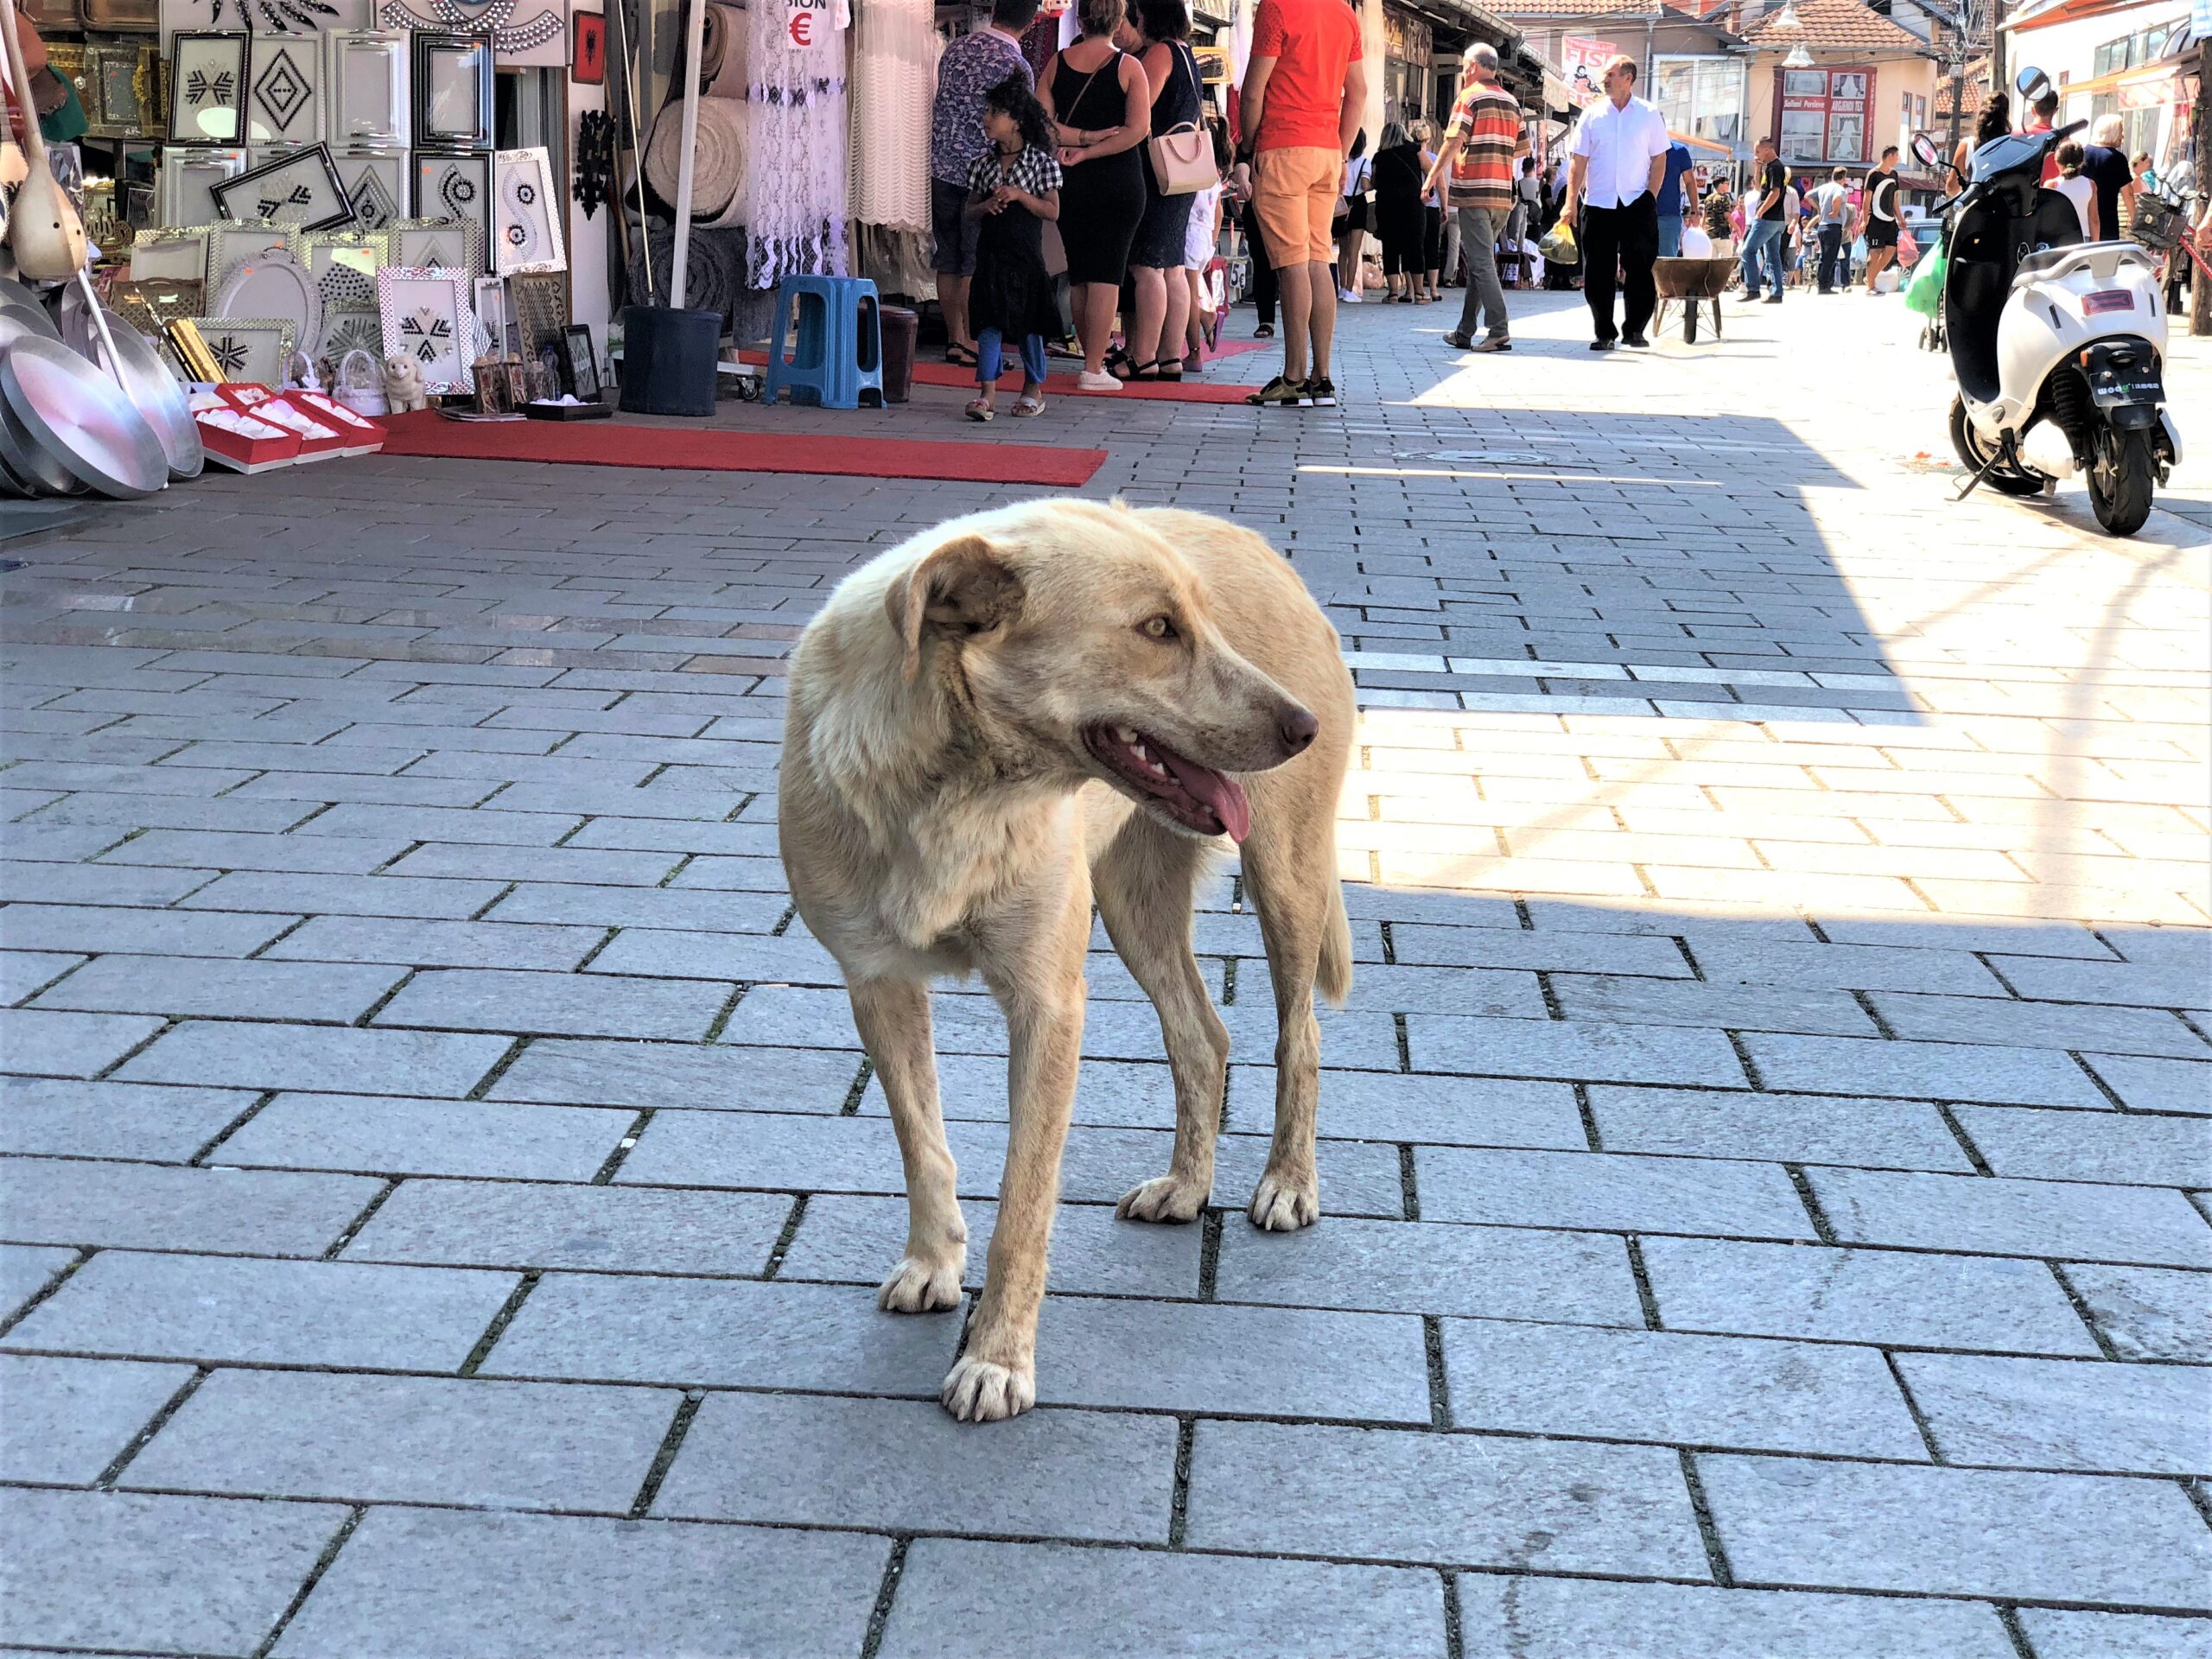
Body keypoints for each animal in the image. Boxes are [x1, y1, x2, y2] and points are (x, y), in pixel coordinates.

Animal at [779, 499, 1362, 1424]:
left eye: (1200, 620)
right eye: (1157, 629)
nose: (1303, 727)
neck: (957, 792)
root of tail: (1261, 545)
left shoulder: (1049, 1003)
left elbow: (1024, 1202)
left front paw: (996, 1359)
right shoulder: (877, 985)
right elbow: (923, 1146)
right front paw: (935, 1263)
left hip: (1286, 877)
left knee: (1295, 1037)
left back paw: (1289, 1183)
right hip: (1134, 906)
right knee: (1204, 1037)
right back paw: (1187, 1186)